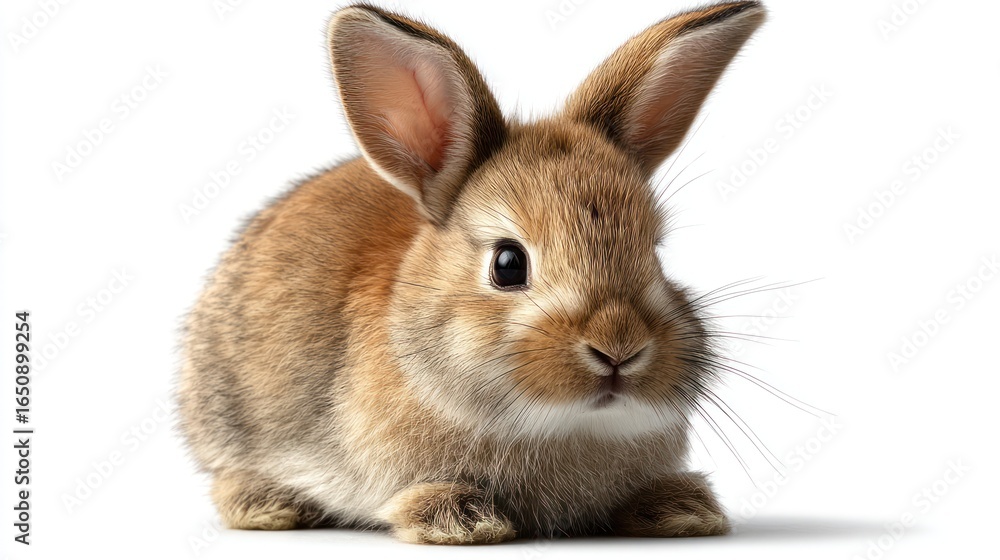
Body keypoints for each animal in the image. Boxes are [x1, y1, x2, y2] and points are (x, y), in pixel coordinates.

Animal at [177, 0, 766, 545]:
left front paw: (681, 510)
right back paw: (268, 505)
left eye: (655, 252)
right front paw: (461, 520)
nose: (619, 347)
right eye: (508, 264)